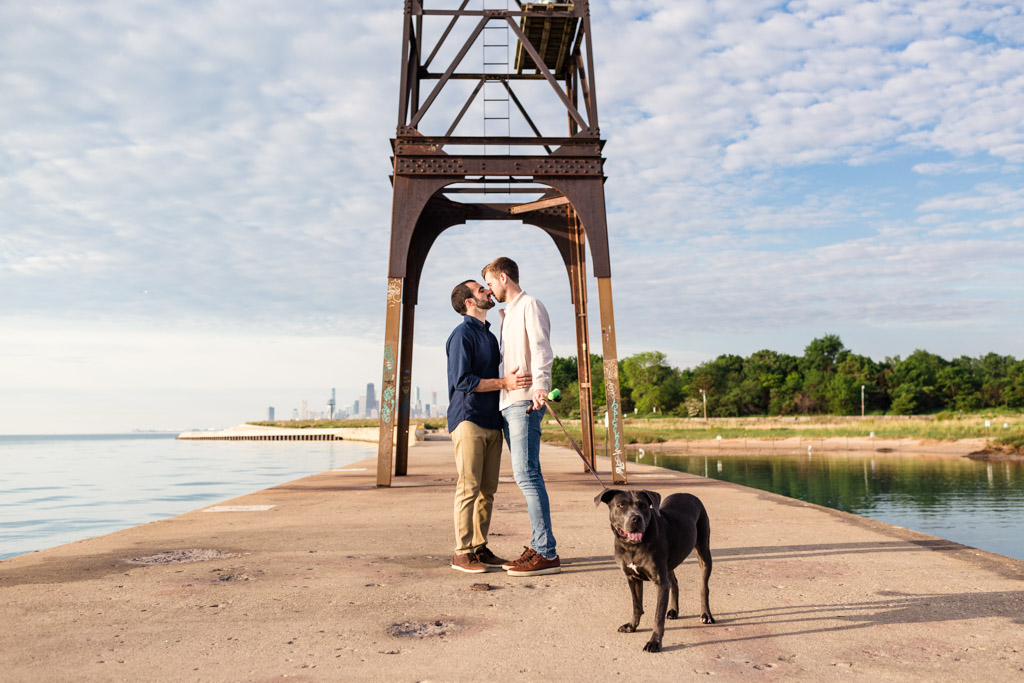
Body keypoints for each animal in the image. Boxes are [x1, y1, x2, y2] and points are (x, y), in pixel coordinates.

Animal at [598, 489, 716, 655]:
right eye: (621, 505)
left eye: (643, 505)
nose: (636, 518)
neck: (633, 546)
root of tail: (687, 493)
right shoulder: (632, 578)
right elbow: (636, 606)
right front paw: (631, 626)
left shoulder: (660, 582)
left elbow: (657, 616)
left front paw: (654, 642)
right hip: (671, 561)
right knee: (674, 583)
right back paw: (673, 610)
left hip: (703, 552)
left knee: (704, 587)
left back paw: (706, 615)